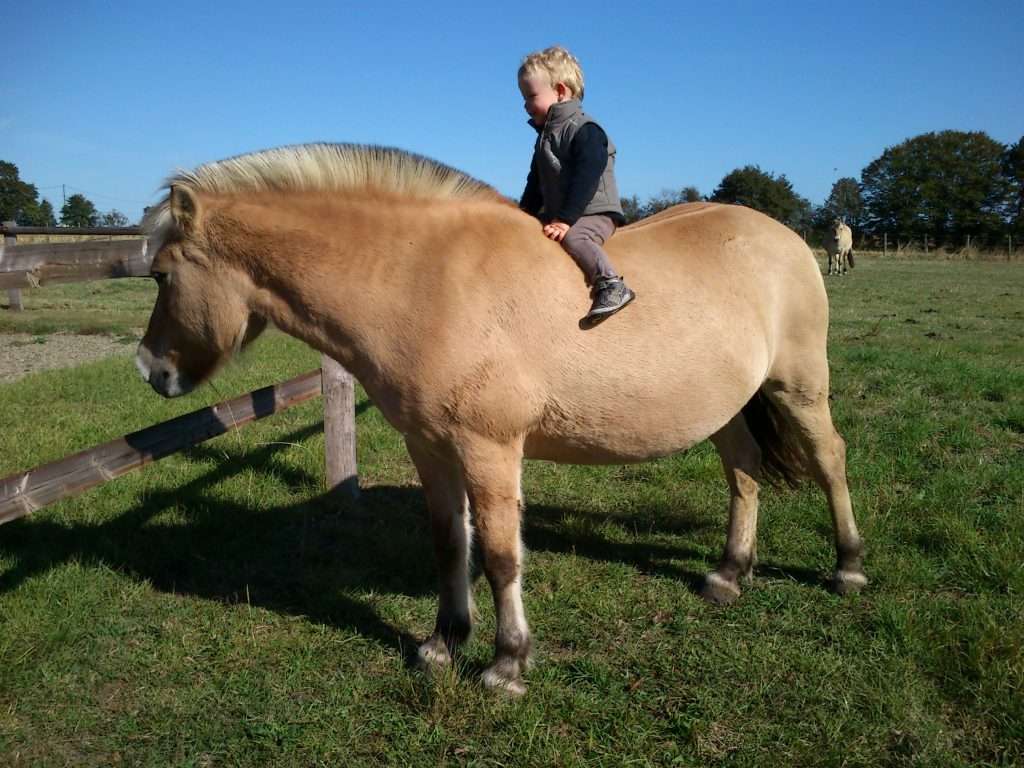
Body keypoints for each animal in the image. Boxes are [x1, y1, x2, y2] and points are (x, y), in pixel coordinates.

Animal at [140, 143, 868, 696]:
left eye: (161, 274)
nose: (150, 370)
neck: (424, 280)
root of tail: (781, 236)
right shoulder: (430, 448)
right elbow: (449, 545)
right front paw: (442, 644)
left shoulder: (489, 448)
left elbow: (498, 554)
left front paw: (506, 663)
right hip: (725, 405)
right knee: (743, 472)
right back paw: (729, 574)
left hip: (799, 385)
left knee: (830, 459)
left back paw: (849, 567)